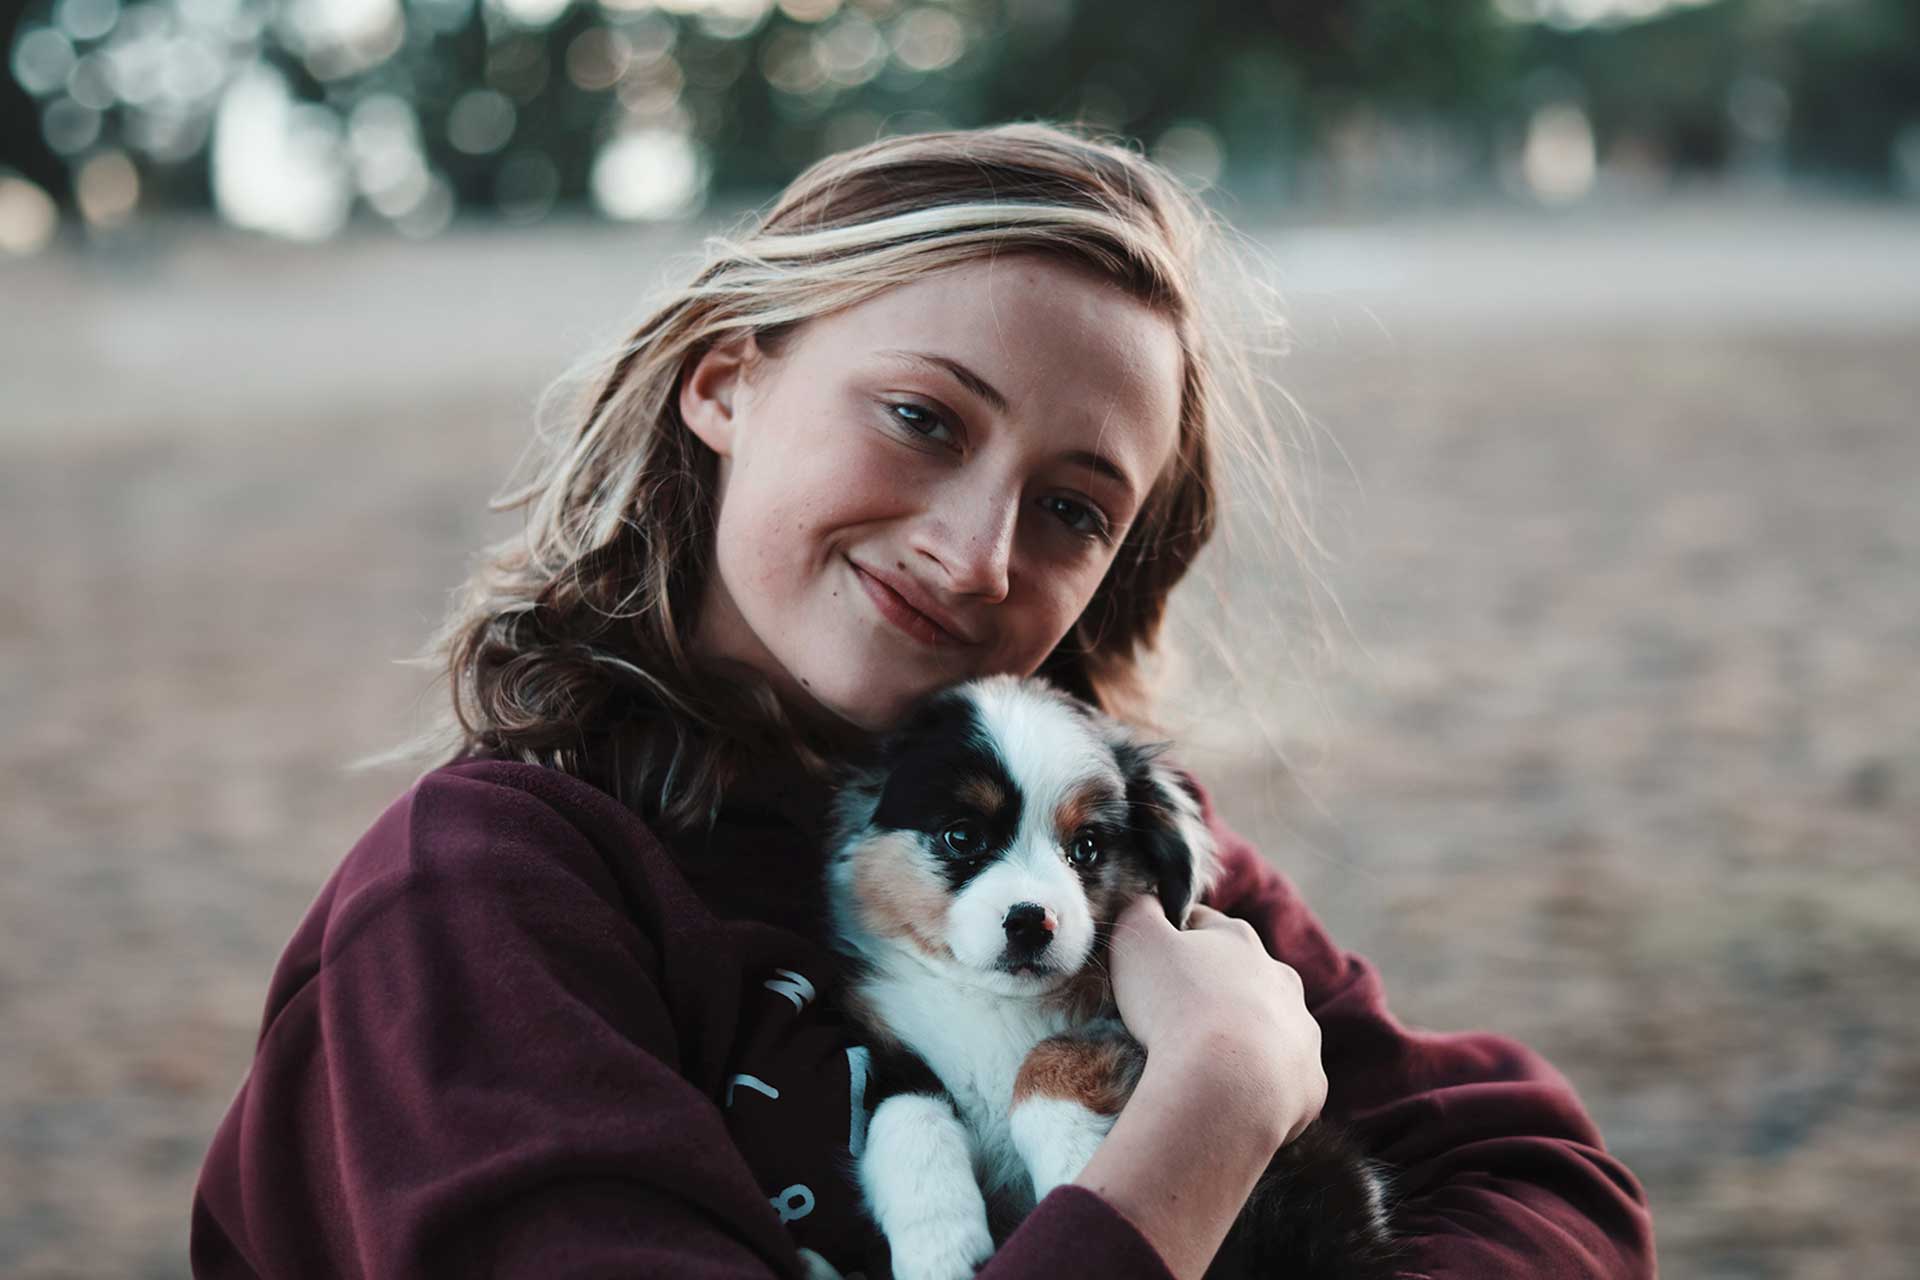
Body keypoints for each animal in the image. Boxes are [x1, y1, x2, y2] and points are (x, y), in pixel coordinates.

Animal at [821, 671, 1397, 1280]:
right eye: (961, 837)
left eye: (1087, 847)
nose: (1032, 922)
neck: (996, 1004)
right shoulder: (889, 1047)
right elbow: (905, 1115)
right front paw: (938, 1244)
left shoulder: (1115, 1027)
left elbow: (1051, 1058)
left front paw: (1076, 1170)